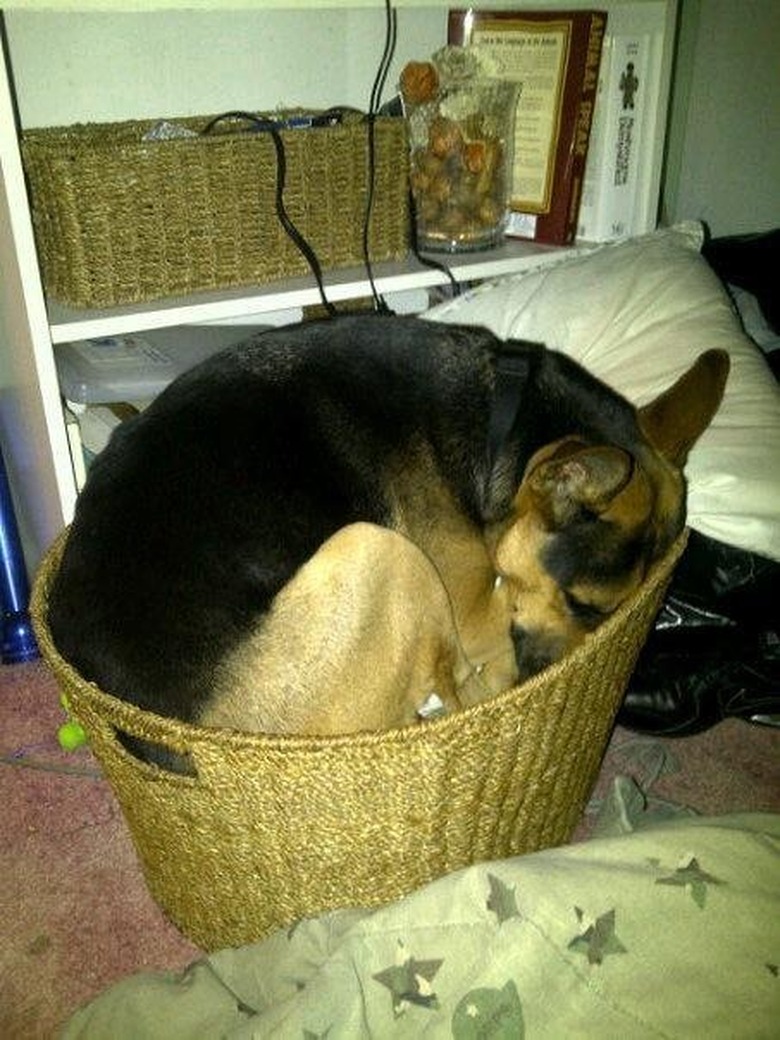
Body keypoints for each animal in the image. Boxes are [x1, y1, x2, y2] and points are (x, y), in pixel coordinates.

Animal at [47, 312, 732, 752]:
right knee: (452, 683)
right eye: (582, 604)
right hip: (377, 548)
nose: (543, 677)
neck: (499, 422)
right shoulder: (475, 609)